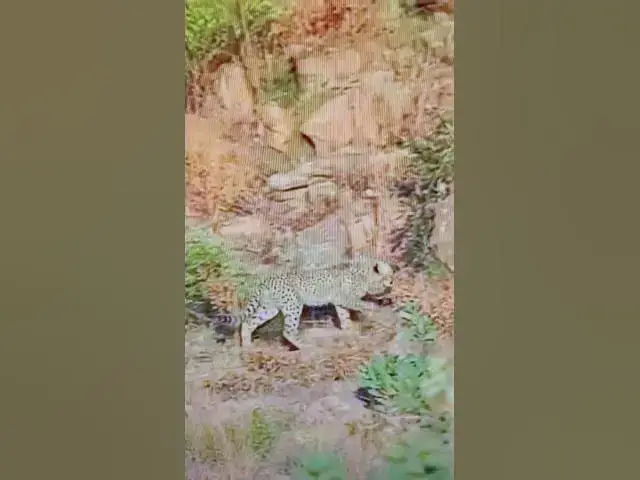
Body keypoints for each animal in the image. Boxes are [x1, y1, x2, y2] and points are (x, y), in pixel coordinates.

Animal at [203, 254, 395, 350]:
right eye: (390, 273)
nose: (393, 281)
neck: (363, 273)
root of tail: (265, 280)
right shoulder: (344, 297)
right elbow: (359, 304)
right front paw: (372, 307)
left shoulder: (339, 300)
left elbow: (344, 315)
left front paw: (348, 329)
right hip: (293, 304)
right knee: (288, 331)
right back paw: (304, 346)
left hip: (270, 308)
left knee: (249, 322)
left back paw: (248, 346)